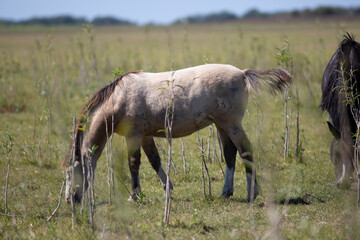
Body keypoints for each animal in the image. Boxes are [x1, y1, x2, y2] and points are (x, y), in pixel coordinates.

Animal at [63, 63, 292, 202]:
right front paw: (168, 188)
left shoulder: (134, 135)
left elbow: (134, 164)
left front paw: (134, 195)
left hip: (231, 125)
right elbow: (154, 161)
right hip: (222, 126)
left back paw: (252, 193)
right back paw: (226, 192)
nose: (69, 199)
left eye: (72, 172)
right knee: (230, 155)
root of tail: (242, 73)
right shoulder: (146, 136)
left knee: (246, 151)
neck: (119, 98)